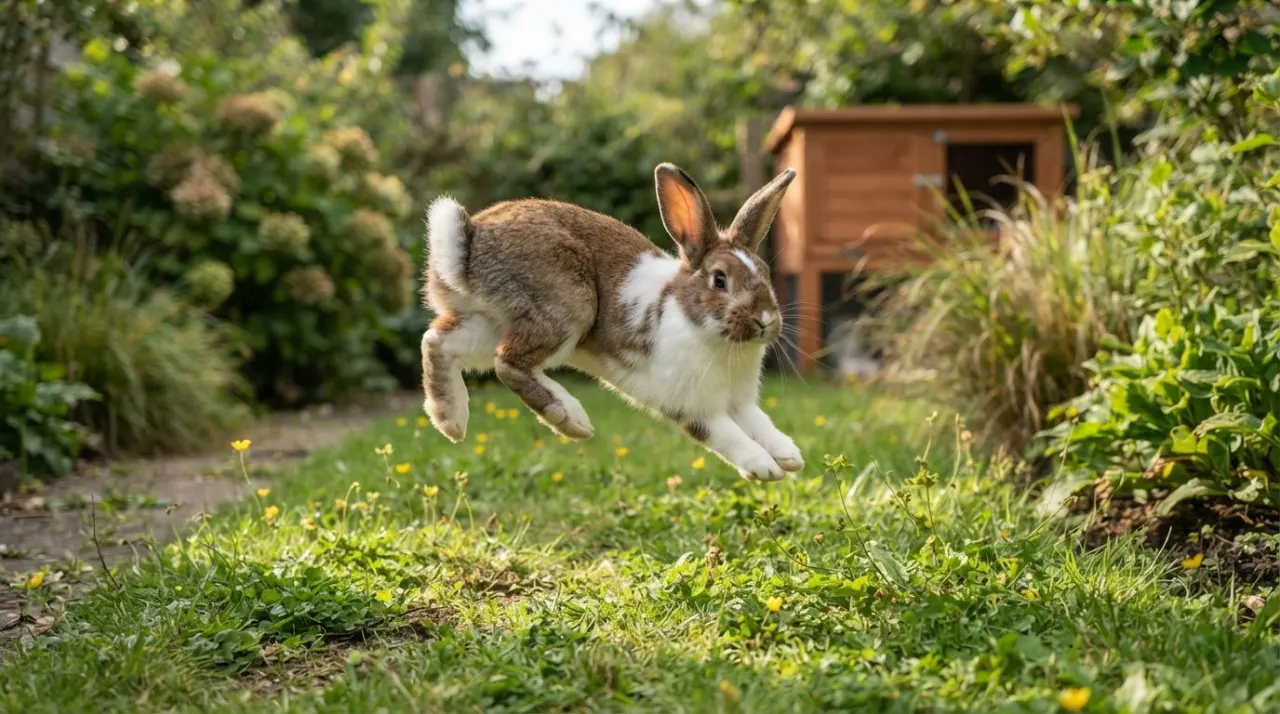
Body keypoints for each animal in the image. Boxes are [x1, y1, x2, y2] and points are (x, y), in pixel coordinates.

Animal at [420, 163, 803, 481]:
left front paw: (789, 455)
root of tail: (468, 247)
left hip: (488, 323)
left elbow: (760, 424)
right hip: (567, 311)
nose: (765, 320)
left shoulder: (740, 403)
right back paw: (570, 418)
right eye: (720, 280)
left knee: (437, 341)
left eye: (765, 273)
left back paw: (450, 420)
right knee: (508, 363)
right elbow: (729, 435)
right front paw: (764, 468)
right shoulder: (695, 407)